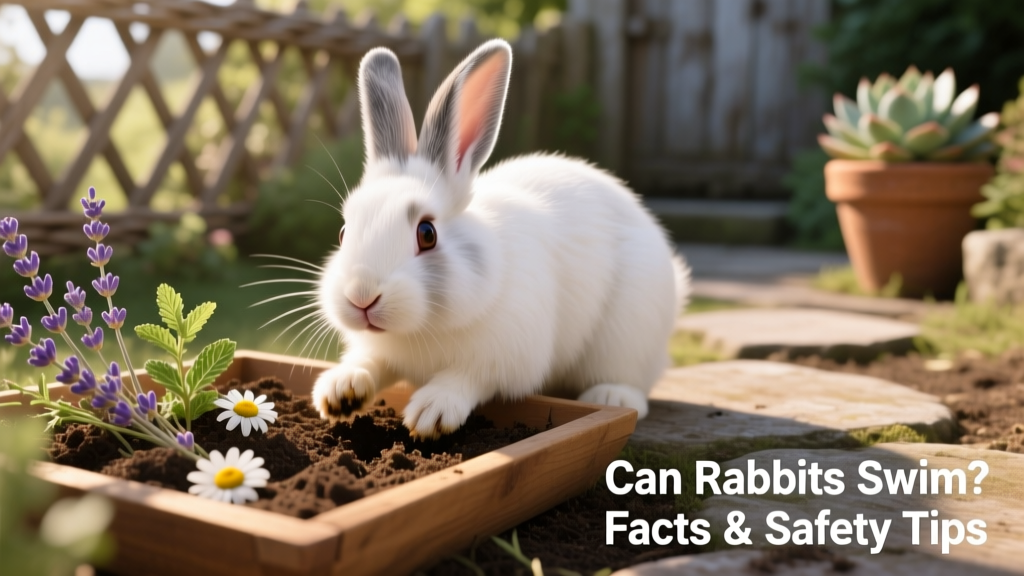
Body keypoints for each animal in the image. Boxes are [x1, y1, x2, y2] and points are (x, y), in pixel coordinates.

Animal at [312, 38, 690, 438]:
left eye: (427, 233)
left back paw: (610, 396)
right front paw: (339, 393)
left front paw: (432, 411)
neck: (420, 330)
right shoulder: (380, 351)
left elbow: (468, 377)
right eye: (343, 232)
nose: (361, 297)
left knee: (632, 379)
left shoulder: (505, 355)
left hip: (628, 336)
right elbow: (369, 362)